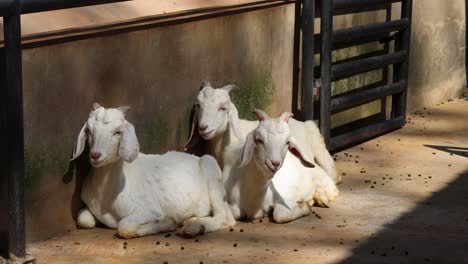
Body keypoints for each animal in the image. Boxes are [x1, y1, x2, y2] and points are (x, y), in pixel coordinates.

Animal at [72, 103, 236, 239]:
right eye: (89, 130)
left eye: (118, 132)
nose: (95, 155)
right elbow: (83, 220)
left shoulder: (148, 210)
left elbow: (124, 226)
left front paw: (167, 223)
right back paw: (192, 220)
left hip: (212, 171)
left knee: (226, 217)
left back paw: (194, 228)